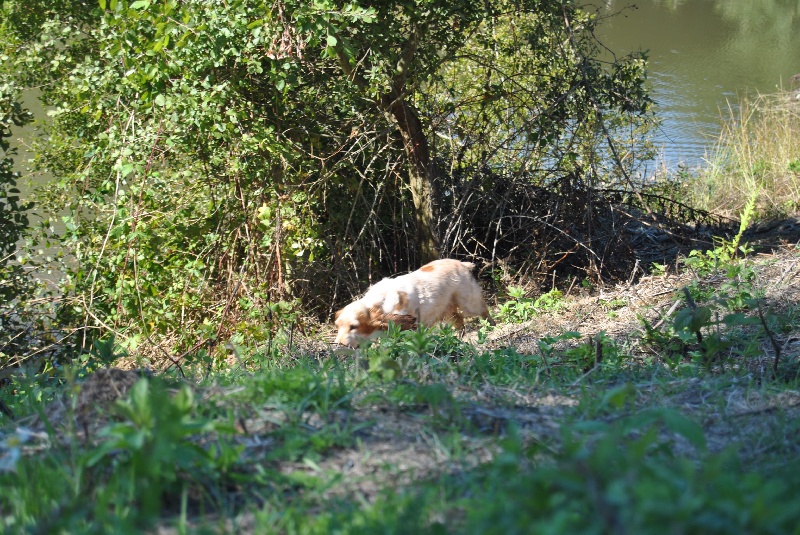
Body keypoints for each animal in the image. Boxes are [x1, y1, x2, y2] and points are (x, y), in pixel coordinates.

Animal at [332, 260, 494, 348]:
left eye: (354, 326)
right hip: (448, 310)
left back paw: (492, 328)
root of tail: (462, 264)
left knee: (484, 311)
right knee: (460, 322)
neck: (382, 304)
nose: (338, 344)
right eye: (338, 326)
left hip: (468, 303)